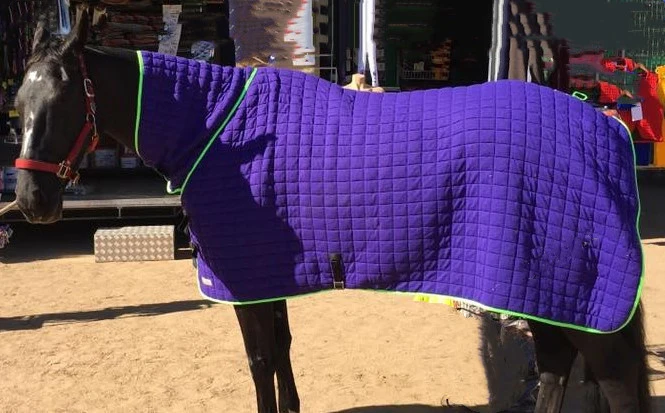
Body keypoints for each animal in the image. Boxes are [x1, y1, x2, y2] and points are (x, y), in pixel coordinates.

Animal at [11, 12, 651, 413]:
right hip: (546, 286)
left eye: (66, 99)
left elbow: (259, 359)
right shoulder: (268, 274)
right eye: (19, 102)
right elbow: (281, 350)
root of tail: (606, 129)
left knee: (611, 382)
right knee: (557, 366)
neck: (217, 127)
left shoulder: (243, 281)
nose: (30, 203)